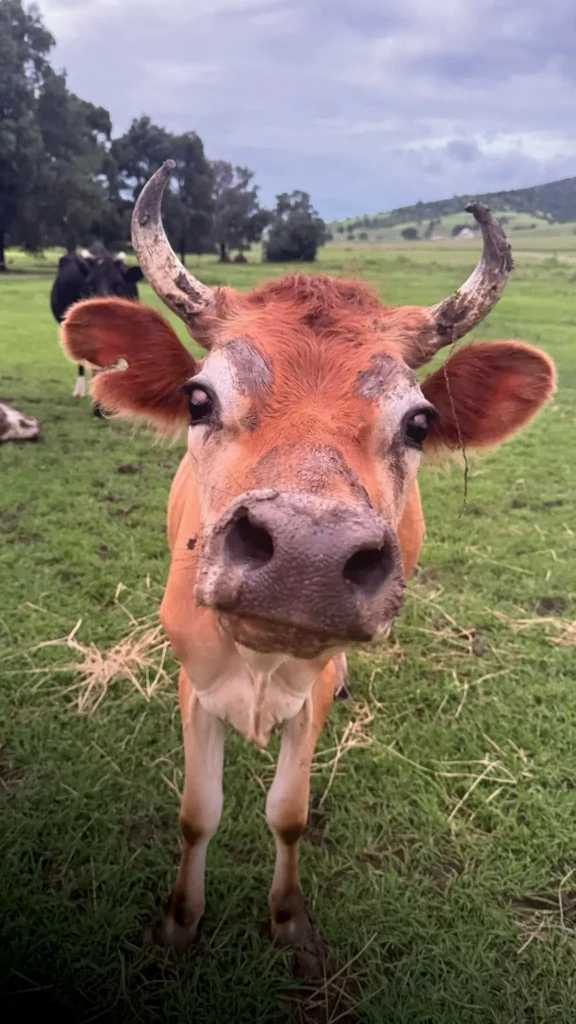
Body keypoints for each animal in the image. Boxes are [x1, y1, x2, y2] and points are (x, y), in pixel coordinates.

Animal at [61, 162, 556, 957]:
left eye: (421, 422)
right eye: (198, 399)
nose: (306, 555)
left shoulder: (311, 693)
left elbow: (287, 812)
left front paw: (289, 920)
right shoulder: (192, 684)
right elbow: (198, 812)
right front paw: (179, 920)